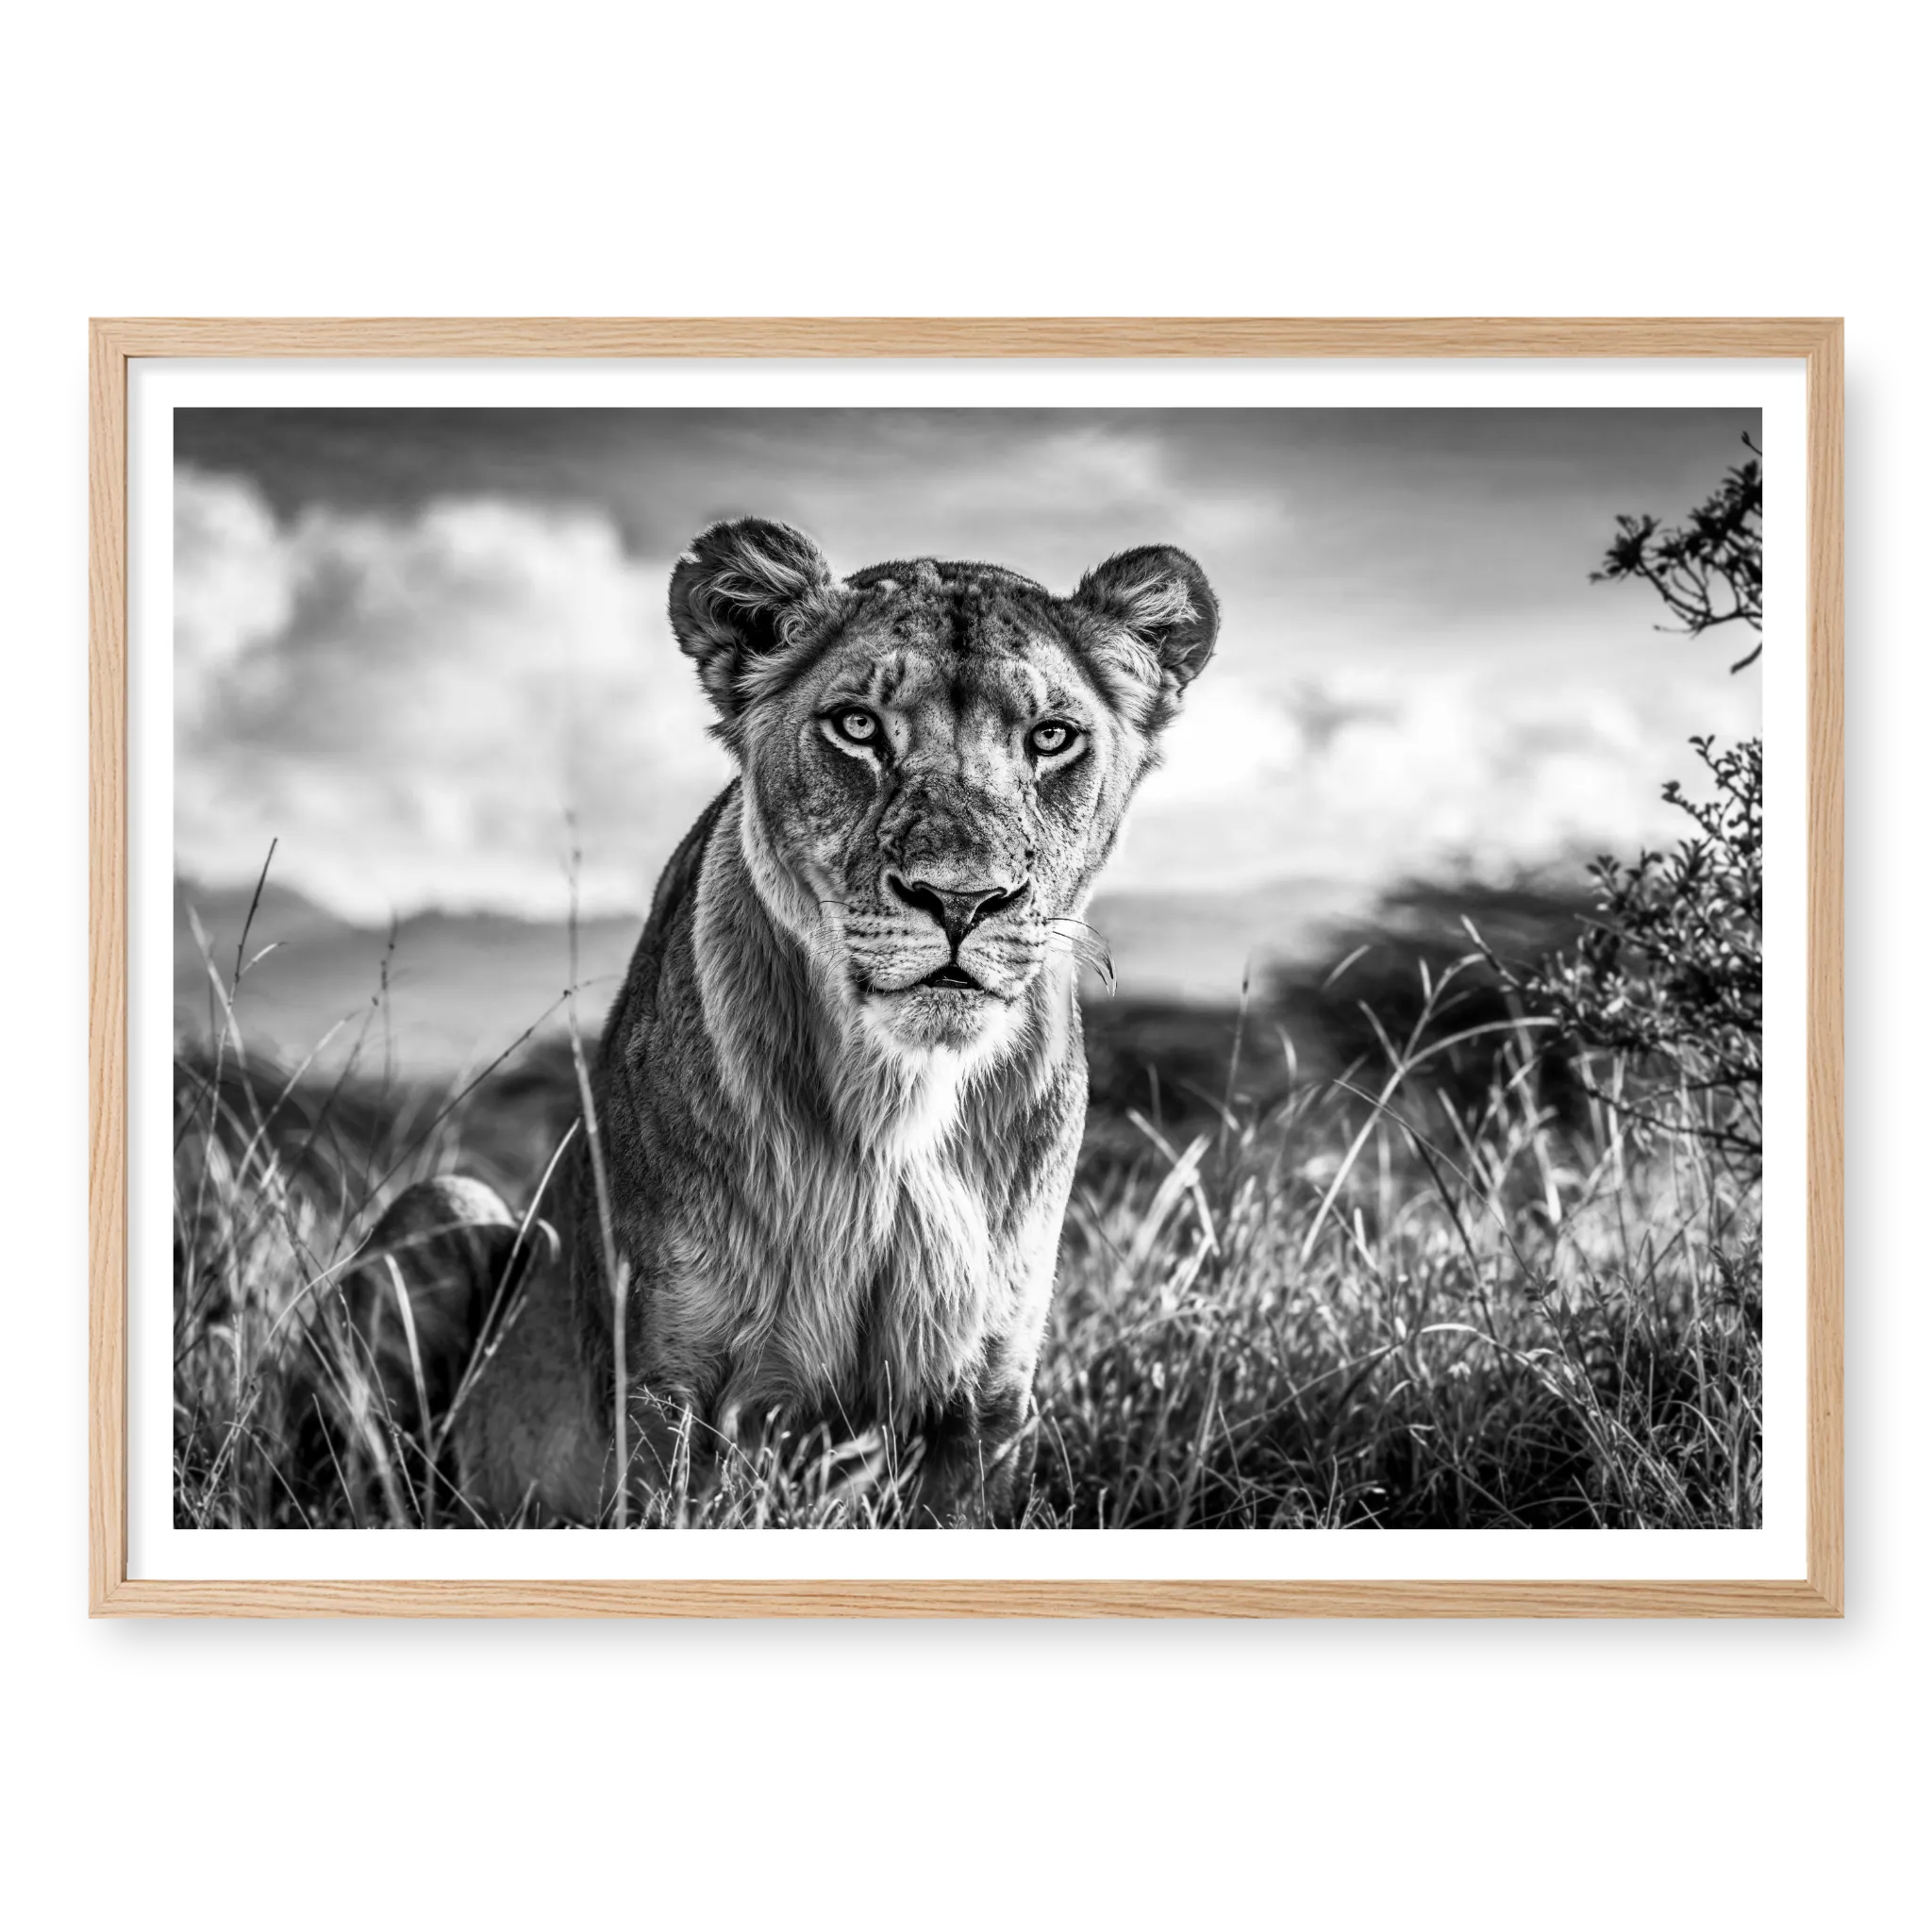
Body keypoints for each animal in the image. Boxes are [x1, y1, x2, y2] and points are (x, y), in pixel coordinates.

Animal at [353, 518, 1218, 1525]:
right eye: (858, 726)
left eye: (1052, 739)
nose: (962, 901)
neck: (898, 1101)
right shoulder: (664, 1390)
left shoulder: (987, 1398)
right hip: (446, 1202)